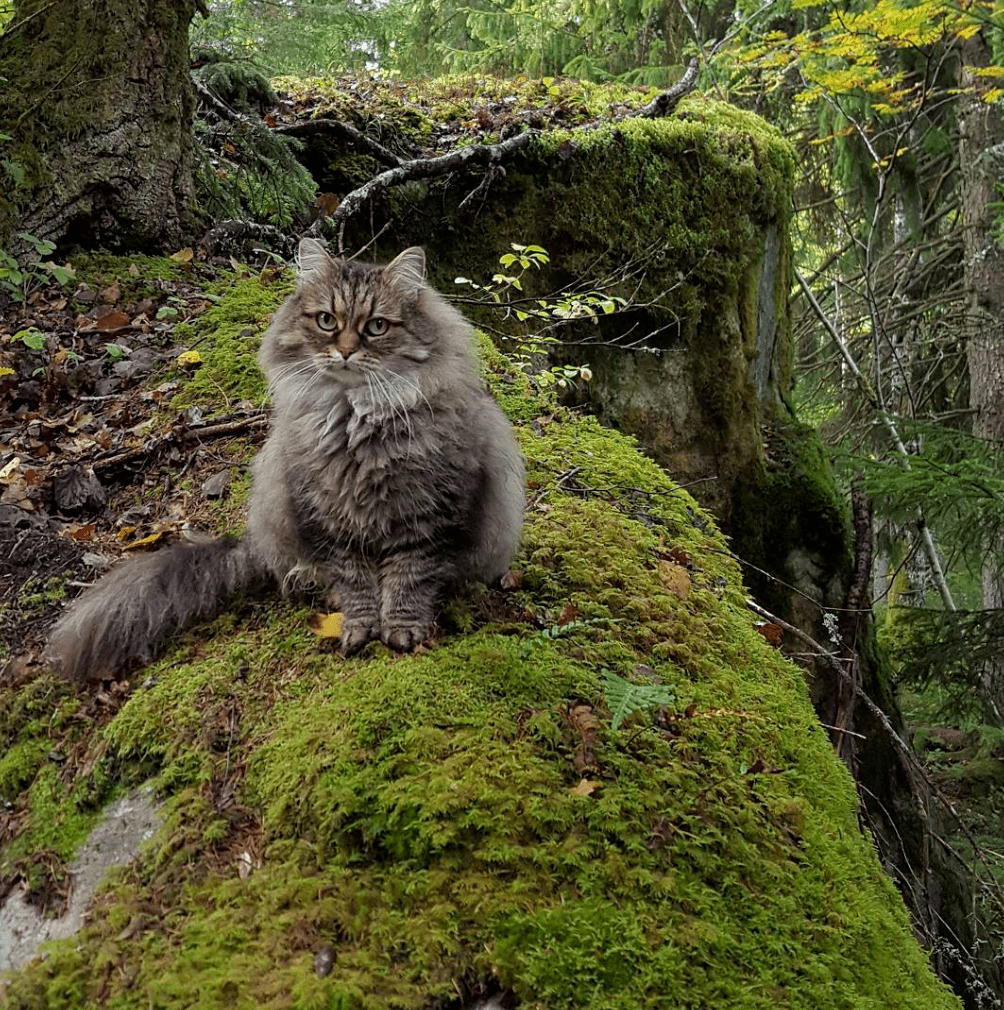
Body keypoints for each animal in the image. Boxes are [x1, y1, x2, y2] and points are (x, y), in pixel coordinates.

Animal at [46, 237, 525, 682]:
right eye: (327, 321)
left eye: (376, 327)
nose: (345, 352)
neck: (354, 417)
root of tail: (254, 543)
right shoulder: (328, 518)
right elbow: (355, 583)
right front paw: (359, 627)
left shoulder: (429, 514)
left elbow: (410, 578)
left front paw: (402, 629)